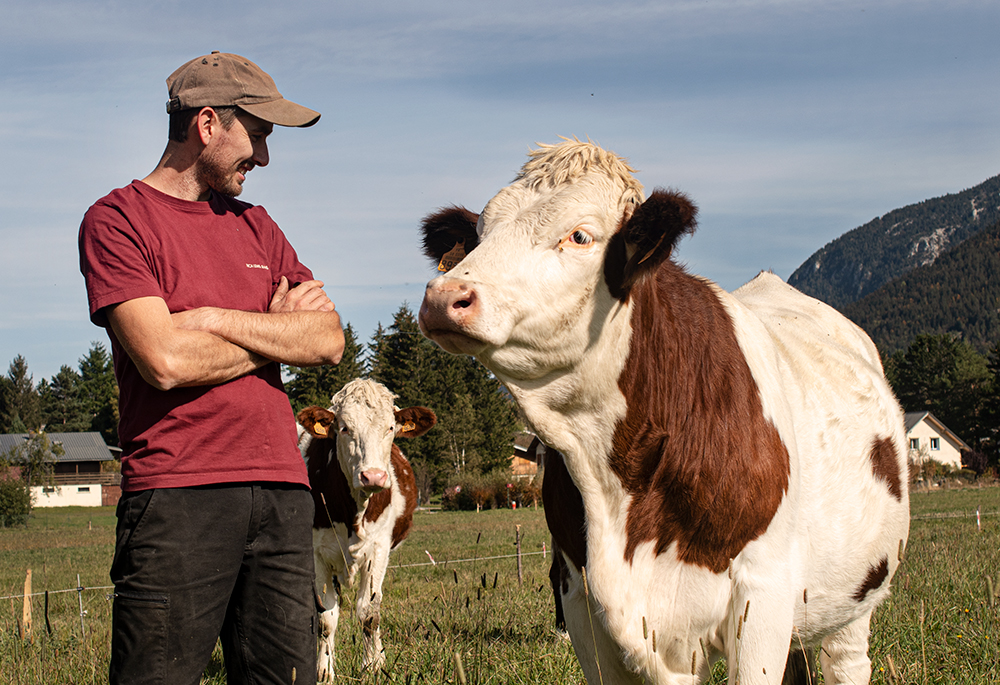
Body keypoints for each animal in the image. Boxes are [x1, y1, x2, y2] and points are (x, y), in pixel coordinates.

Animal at [298, 376, 436, 680]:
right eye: (344, 428)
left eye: (391, 428)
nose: (373, 476)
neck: (353, 513)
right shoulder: (316, 553)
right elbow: (326, 617)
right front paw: (323, 672)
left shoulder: (378, 549)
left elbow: (369, 612)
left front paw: (373, 666)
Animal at [418, 140, 912, 684]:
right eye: (481, 235)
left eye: (580, 235)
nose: (444, 296)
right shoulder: (581, 599)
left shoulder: (762, 594)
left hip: (854, 598)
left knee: (848, 661)